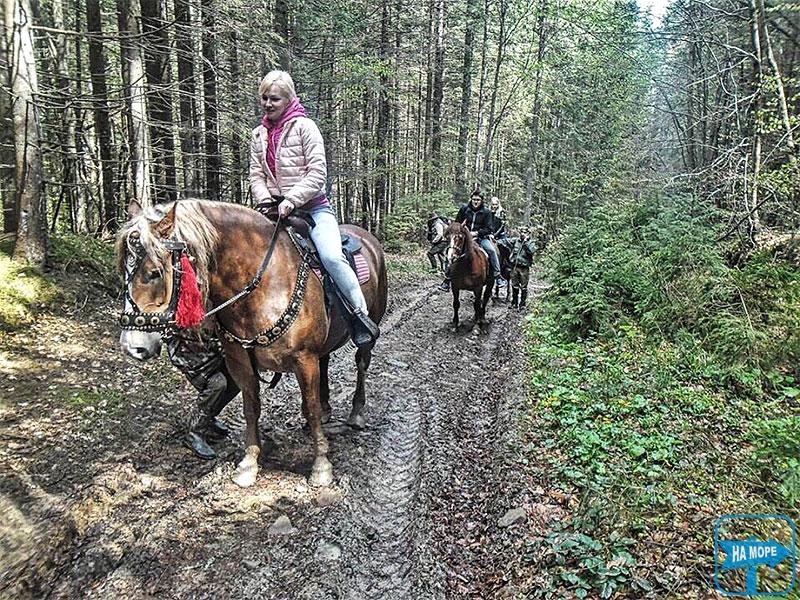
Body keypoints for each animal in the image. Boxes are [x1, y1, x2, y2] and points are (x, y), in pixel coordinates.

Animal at [117, 200, 388, 488]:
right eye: (124, 270)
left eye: (154, 273)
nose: (132, 346)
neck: (262, 284)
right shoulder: (240, 361)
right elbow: (251, 408)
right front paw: (249, 464)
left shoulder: (304, 359)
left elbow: (311, 408)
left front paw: (321, 466)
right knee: (326, 362)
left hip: (368, 329)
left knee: (361, 364)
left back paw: (357, 413)